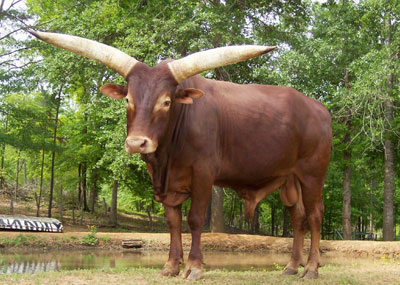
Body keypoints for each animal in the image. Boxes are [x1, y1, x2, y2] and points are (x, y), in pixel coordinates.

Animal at [29, 29, 332, 280]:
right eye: (128, 100)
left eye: (166, 102)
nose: (137, 143)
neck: (166, 157)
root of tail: (318, 109)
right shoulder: (166, 183)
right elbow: (172, 222)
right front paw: (171, 266)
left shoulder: (203, 174)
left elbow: (195, 219)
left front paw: (194, 267)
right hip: (289, 179)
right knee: (297, 217)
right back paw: (291, 267)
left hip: (312, 173)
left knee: (315, 215)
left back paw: (311, 269)